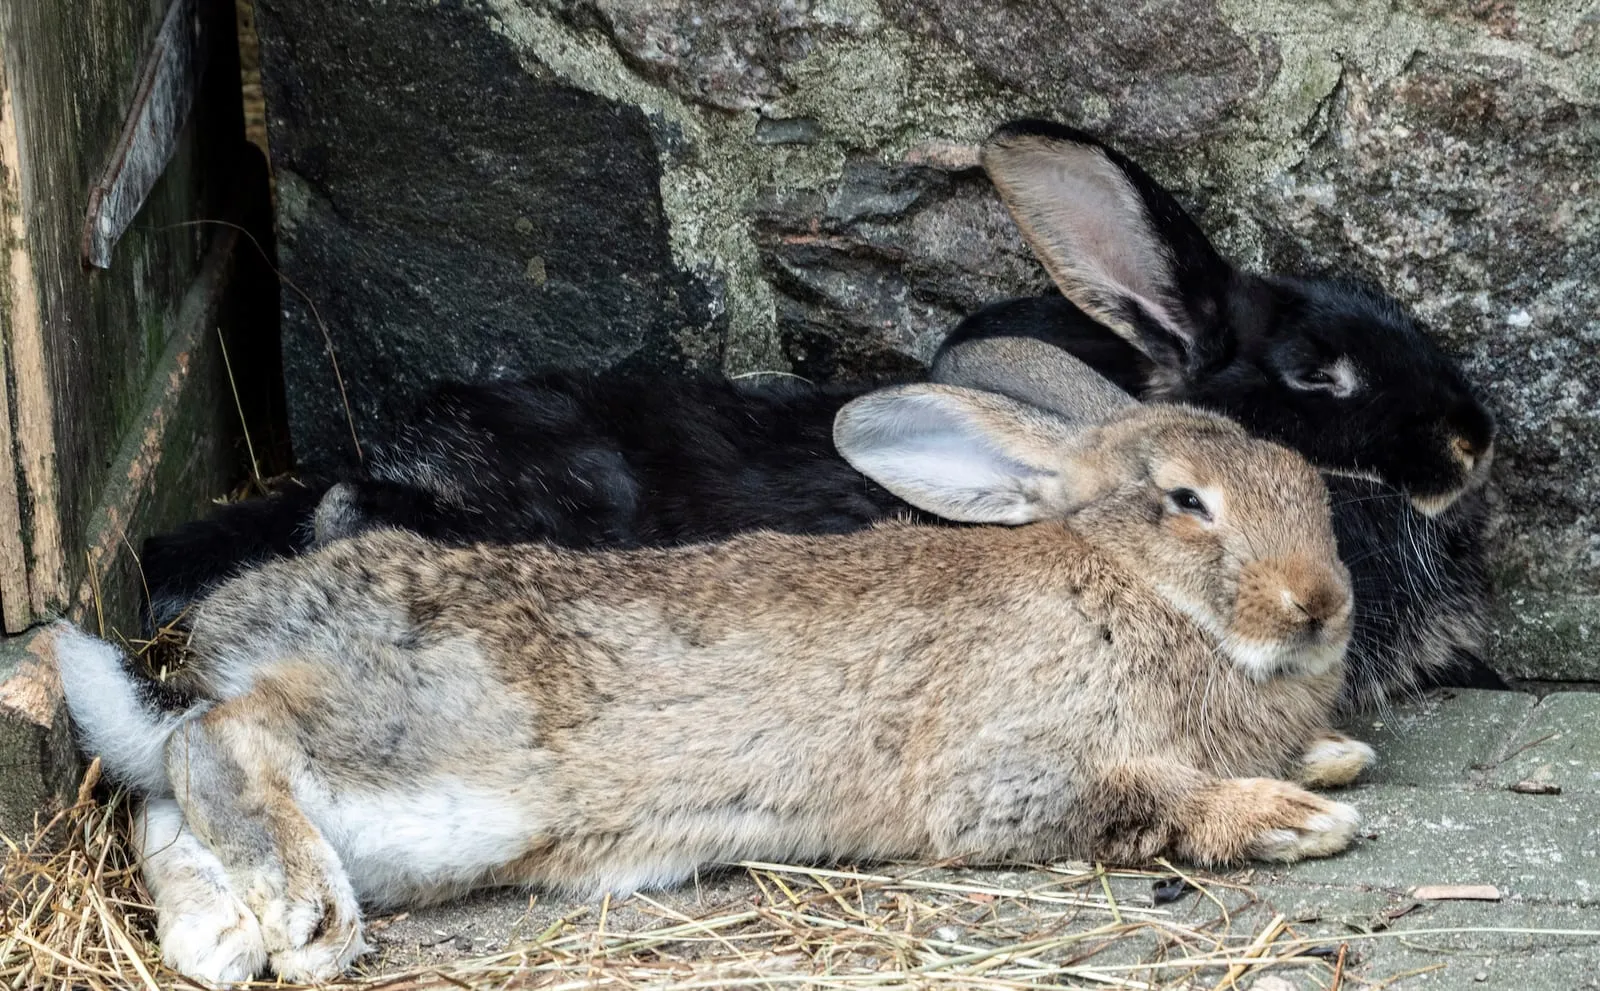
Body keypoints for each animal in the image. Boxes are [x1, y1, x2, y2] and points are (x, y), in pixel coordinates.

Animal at [57, 383, 1375, 985]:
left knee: (161, 797)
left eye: (1311, 481)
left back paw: (228, 937)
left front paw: (1330, 755)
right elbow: (1142, 794)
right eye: (1185, 501)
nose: (1321, 604)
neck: (1135, 588)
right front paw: (1296, 815)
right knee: (211, 741)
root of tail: (261, 618)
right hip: (429, 759)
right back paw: (305, 914)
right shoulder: (1009, 773)